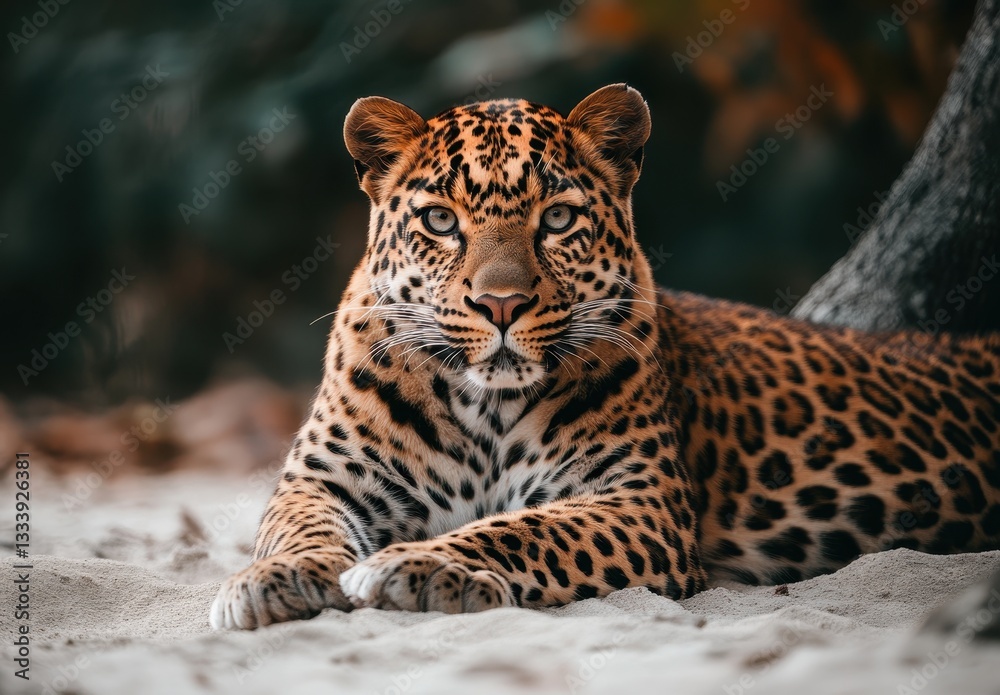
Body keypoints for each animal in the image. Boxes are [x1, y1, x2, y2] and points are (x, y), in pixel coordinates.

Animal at [210, 84, 1000, 629]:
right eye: (440, 220)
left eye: (558, 219)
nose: (501, 305)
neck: (483, 407)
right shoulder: (323, 480)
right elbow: (296, 527)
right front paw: (276, 578)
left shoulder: (638, 498)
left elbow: (528, 529)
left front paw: (425, 562)